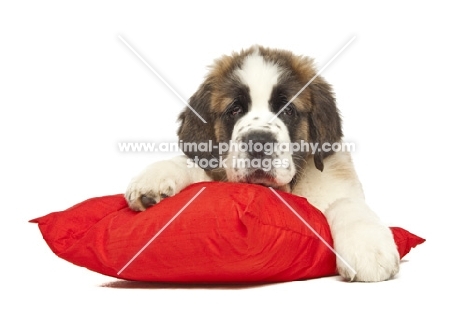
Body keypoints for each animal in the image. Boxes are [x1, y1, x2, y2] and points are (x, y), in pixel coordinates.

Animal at [126, 46, 400, 284]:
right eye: (235, 109)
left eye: (288, 110)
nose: (258, 142)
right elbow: (191, 163)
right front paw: (153, 179)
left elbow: (345, 203)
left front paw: (368, 247)